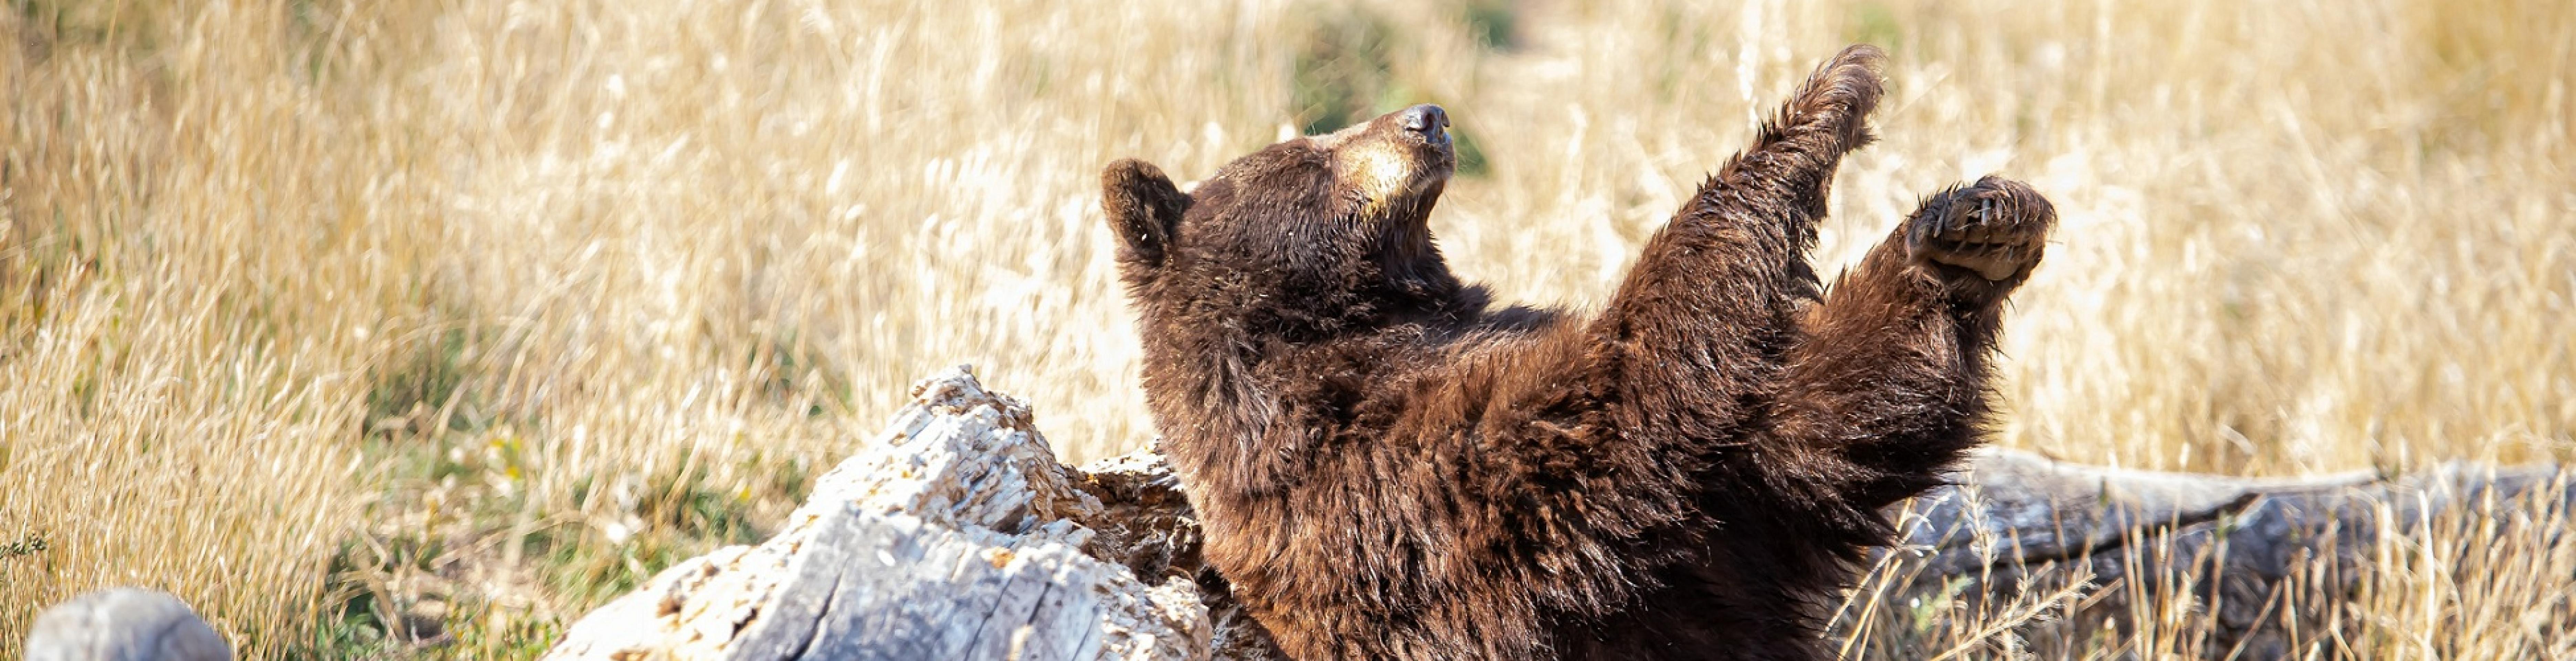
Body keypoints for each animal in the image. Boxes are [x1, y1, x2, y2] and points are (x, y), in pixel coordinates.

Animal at [1102, 46, 2050, 658]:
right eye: (1314, 150)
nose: (1426, 119)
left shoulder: (1723, 525)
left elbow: (1821, 427)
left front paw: (1971, 231)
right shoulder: (1401, 477)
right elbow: (1634, 388)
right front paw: (1823, 97)